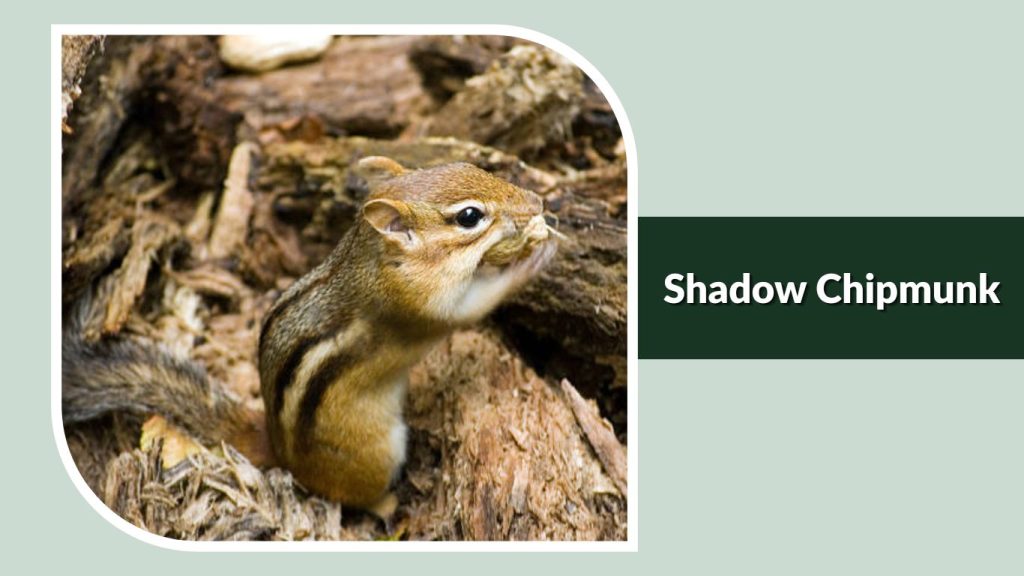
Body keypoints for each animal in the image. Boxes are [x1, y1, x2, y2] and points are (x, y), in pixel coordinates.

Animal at [63, 156, 557, 514]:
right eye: (469, 217)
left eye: (475, 167)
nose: (536, 200)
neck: (376, 259)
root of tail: (280, 452)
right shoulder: (421, 303)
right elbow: (472, 306)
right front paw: (532, 260)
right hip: (377, 453)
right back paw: (388, 505)